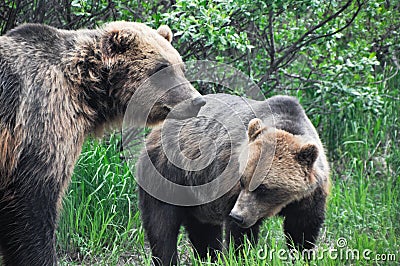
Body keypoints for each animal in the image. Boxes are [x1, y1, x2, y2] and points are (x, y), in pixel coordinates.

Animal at [136, 93, 330, 264]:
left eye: (263, 187)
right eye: (242, 180)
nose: (238, 216)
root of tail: (156, 129)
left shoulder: (309, 198)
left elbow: (302, 230)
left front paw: (302, 256)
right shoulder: (231, 188)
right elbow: (241, 235)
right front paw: (241, 256)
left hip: (197, 195)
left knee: (203, 230)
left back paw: (209, 258)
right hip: (167, 176)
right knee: (162, 226)